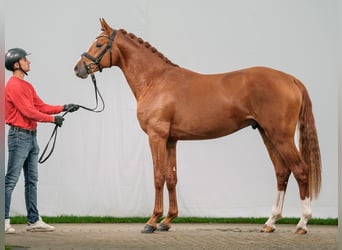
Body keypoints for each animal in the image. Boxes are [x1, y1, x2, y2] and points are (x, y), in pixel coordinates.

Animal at [74, 19, 320, 234]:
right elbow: (171, 178)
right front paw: (167, 221)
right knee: (282, 172)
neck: (156, 80)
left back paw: (302, 223)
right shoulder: (171, 140)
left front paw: (152, 221)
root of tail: (291, 79)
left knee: (301, 170)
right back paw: (270, 222)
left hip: (281, 136)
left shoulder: (156, 136)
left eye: (99, 44)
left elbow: (158, 176)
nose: (78, 69)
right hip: (266, 134)